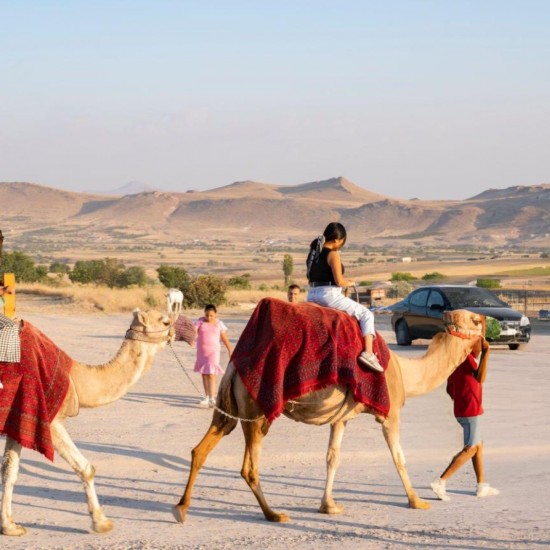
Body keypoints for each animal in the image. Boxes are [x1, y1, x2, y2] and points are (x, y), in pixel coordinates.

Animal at [0, 310, 176, 540]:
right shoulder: (50, 420)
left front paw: (10, 526)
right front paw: (101, 523)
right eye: (165, 321)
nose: (177, 331)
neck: (76, 377)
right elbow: (85, 467)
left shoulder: (19, 418)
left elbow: (9, 470)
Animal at [175, 304, 490, 524]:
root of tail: (233, 368)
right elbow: (398, 456)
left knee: (201, 449)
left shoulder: (342, 417)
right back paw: (273, 514)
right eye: (475, 320)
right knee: (249, 468)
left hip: (230, 407)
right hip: (258, 409)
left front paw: (329, 506)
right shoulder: (389, 413)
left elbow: (332, 457)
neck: (405, 372)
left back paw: (181, 508)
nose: (491, 323)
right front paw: (416, 501)